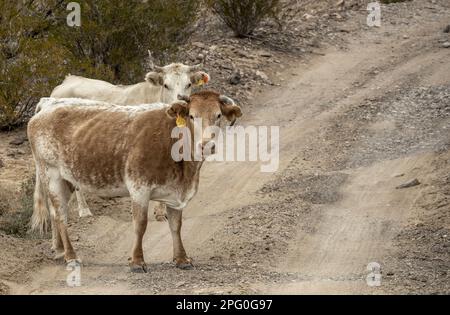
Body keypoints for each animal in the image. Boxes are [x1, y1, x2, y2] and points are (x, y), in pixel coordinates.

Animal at [28, 90, 243, 272]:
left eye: (218, 115)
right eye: (191, 116)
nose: (206, 145)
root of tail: (49, 103)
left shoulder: (175, 194)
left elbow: (176, 225)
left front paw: (182, 259)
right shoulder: (139, 188)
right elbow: (140, 224)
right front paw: (137, 261)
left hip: (67, 179)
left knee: (55, 213)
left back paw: (59, 250)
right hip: (51, 173)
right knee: (60, 215)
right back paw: (71, 256)